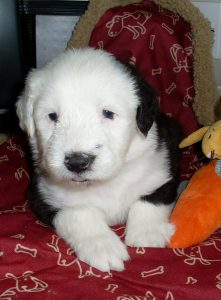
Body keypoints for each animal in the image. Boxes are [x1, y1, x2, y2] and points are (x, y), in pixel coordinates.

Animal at [16, 47, 182, 272]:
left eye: (108, 113)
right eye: (52, 116)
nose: (77, 162)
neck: (105, 182)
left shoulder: (164, 164)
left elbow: (151, 198)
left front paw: (148, 233)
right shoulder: (43, 195)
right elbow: (79, 213)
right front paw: (103, 246)